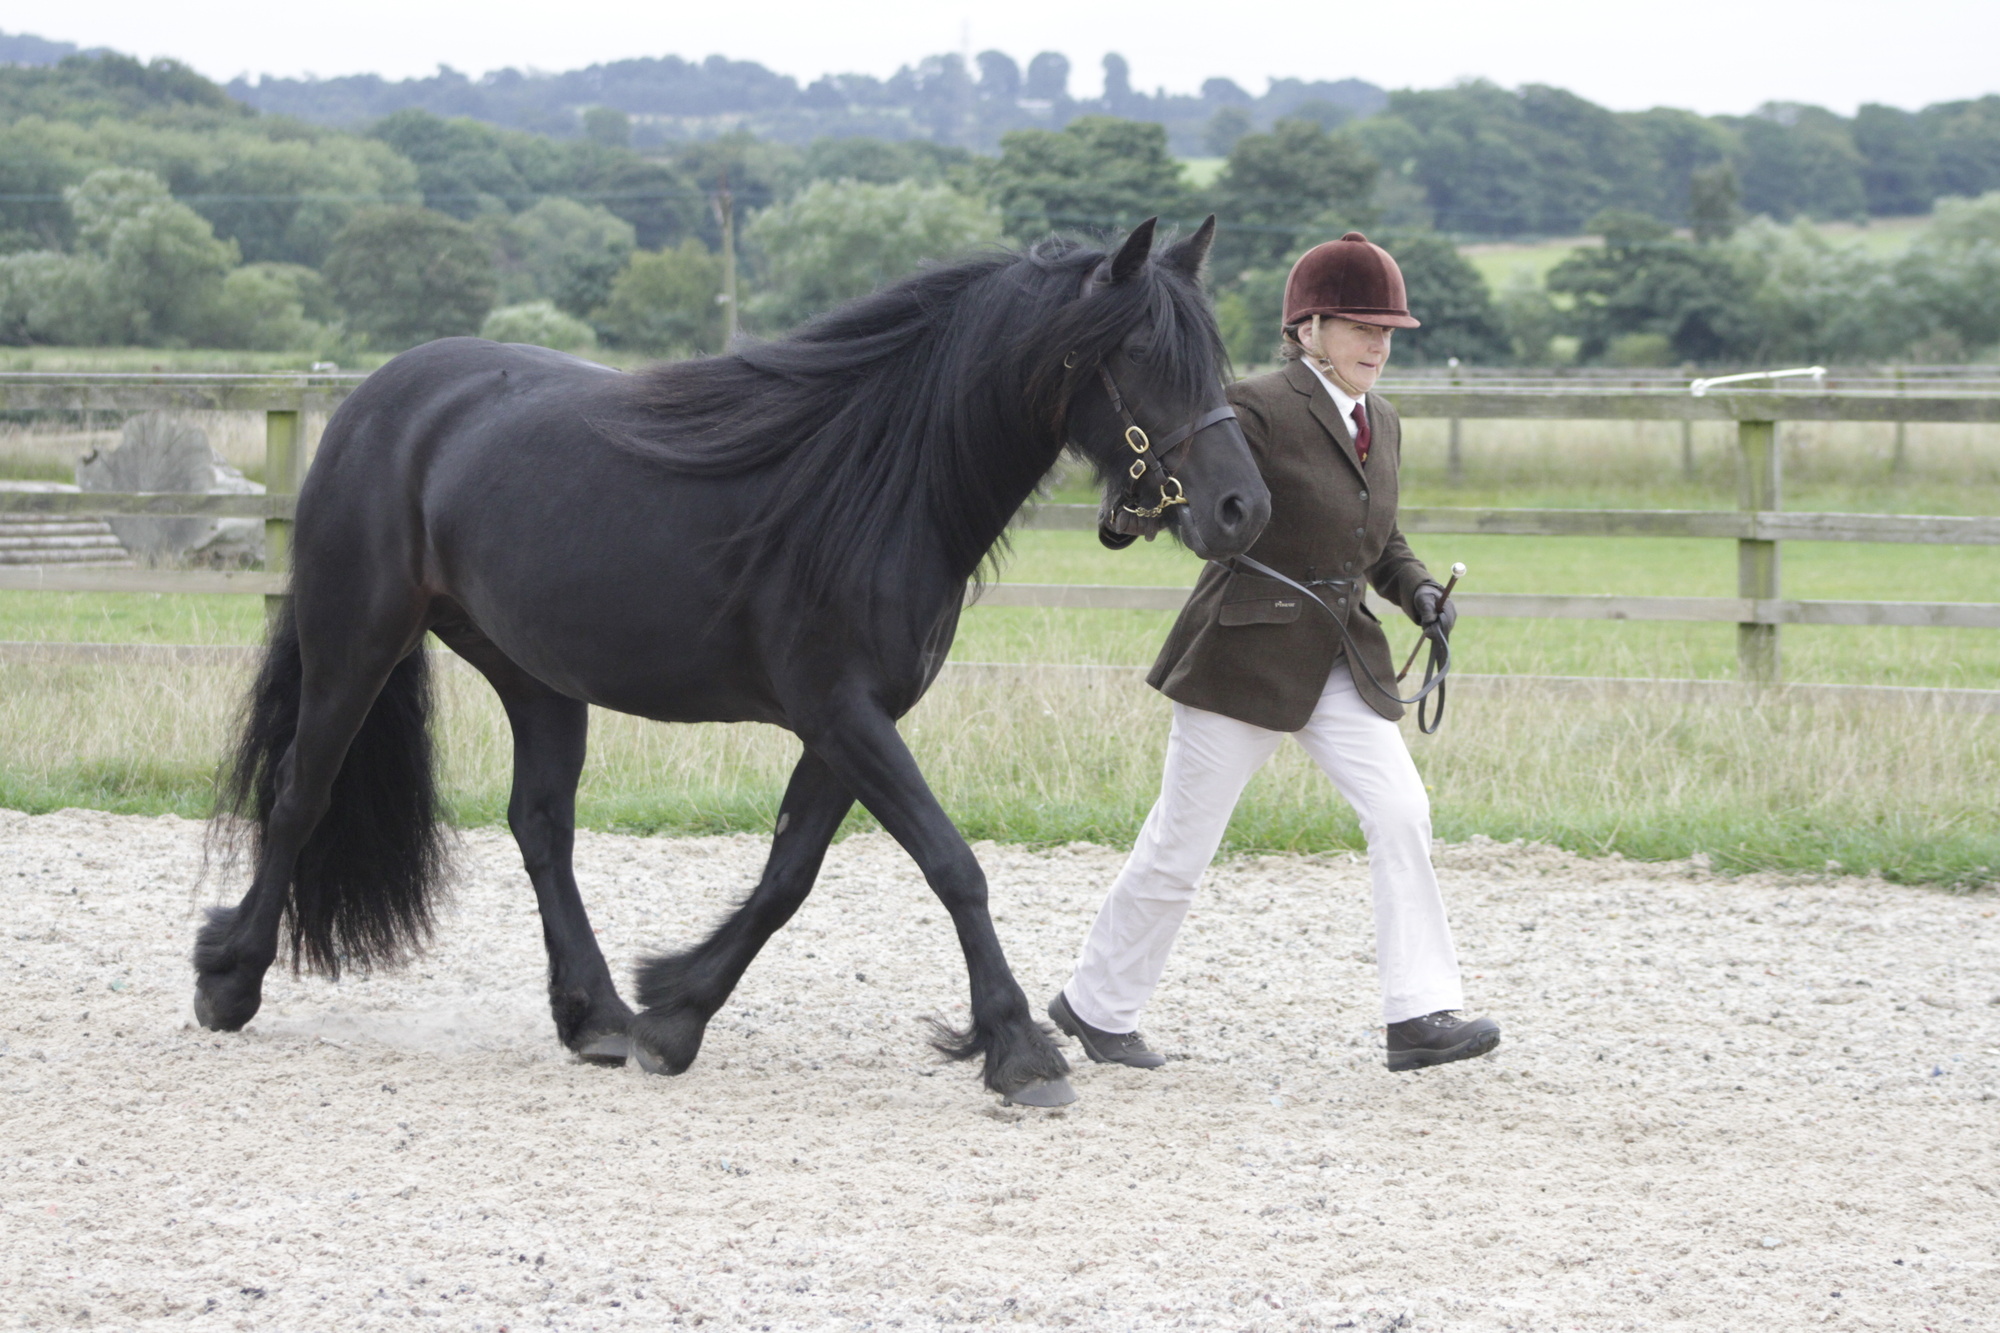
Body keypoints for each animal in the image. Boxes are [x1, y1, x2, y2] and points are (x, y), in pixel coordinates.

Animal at [195, 215, 1272, 1096]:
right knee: (299, 795)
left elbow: (787, 875)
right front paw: (1018, 1050)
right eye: (1141, 353)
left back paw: (596, 1015)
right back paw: (229, 978)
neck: (878, 483)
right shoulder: (842, 711)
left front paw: (673, 1014)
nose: (1241, 508)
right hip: (356, 638)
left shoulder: (847, 725)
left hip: (535, 676)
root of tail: (375, 399)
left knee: (541, 826)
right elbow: (952, 863)